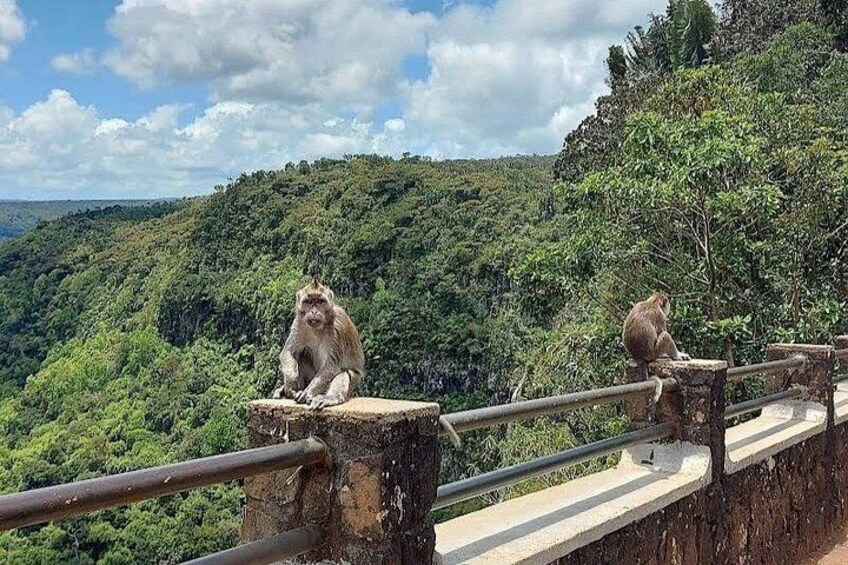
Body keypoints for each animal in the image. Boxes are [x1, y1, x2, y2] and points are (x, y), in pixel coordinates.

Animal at [270, 280, 365, 410]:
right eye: (308, 302)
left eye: (320, 301)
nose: (314, 311)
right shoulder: (299, 322)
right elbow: (289, 352)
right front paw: (290, 380)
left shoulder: (338, 326)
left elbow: (331, 366)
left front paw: (307, 393)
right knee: (301, 354)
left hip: (353, 384)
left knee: (344, 372)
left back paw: (330, 397)